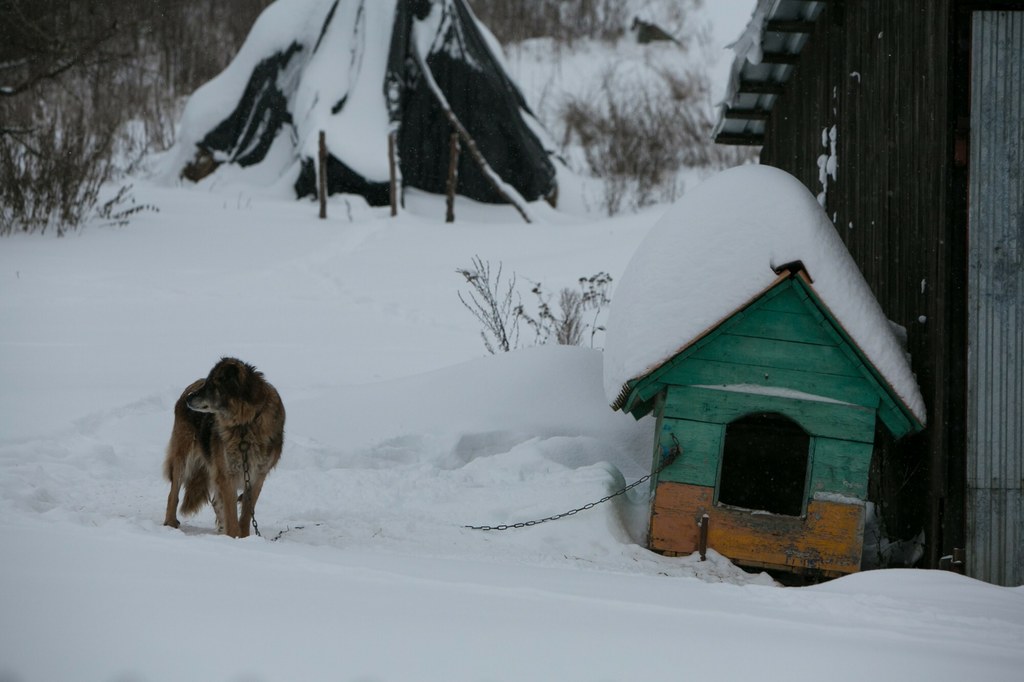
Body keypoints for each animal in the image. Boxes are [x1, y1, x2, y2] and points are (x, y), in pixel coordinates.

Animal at [162, 356, 284, 536]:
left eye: (211, 385)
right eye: (206, 383)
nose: (189, 398)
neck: (245, 423)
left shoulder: (257, 476)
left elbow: (245, 515)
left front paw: (244, 538)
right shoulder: (227, 474)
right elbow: (232, 516)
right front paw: (233, 537)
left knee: (215, 502)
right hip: (184, 457)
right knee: (173, 493)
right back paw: (170, 523)